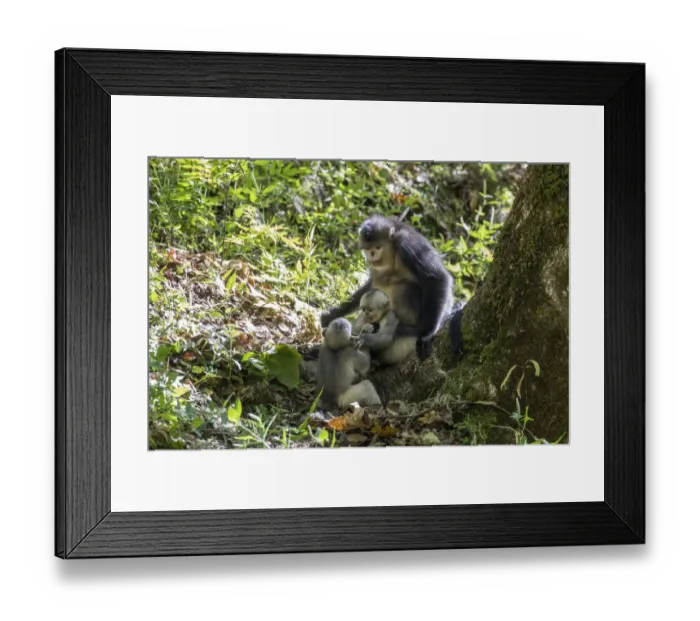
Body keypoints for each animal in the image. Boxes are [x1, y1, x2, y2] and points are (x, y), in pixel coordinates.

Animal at [321, 215, 460, 361]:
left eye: (378, 247)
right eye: (368, 249)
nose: (373, 255)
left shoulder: (409, 244)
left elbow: (437, 278)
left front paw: (428, 334)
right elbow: (371, 284)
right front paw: (333, 314)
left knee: (406, 288)